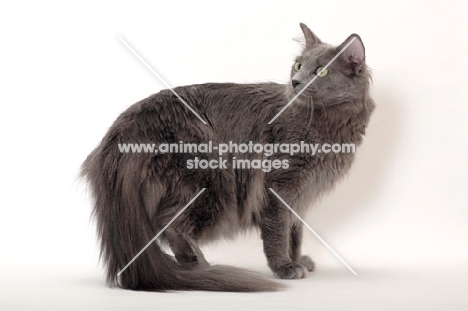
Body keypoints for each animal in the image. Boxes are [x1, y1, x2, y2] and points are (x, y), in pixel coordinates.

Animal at [80, 23, 372, 292]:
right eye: (299, 65)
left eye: (321, 71)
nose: (296, 82)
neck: (327, 124)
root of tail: (125, 127)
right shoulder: (278, 187)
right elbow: (278, 232)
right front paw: (284, 267)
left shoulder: (300, 197)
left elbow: (294, 234)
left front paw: (298, 260)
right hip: (212, 180)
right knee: (171, 224)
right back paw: (202, 267)